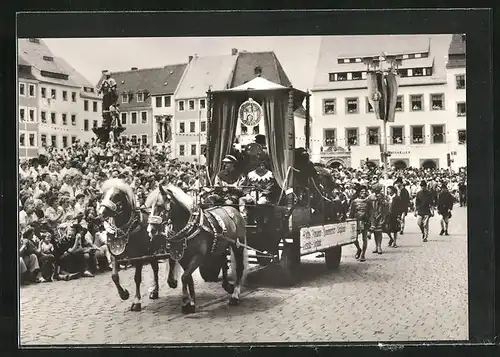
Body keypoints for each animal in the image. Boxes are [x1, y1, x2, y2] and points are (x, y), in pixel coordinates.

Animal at [146, 184, 247, 312]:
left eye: (159, 205)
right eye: (151, 207)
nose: (151, 230)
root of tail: (233, 209)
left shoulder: (198, 257)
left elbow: (184, 277)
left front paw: (185, 303)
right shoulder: (183, 257)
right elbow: (188, 278)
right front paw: (192, 302)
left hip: (238, 245)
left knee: (239, 268)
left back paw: (235, 296)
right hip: (220, 248)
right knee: (224, 263)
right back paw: (227, 286)